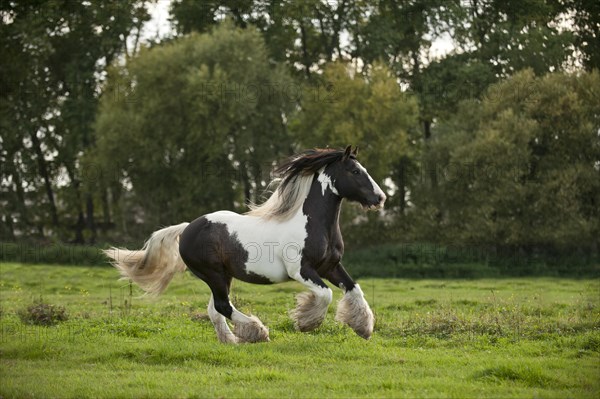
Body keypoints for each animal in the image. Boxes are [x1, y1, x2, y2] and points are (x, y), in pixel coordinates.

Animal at [103, 147, 386, 344]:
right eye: (355, 171)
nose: (380, 198)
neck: (313, 223)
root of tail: (186, 228)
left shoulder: (331, 266)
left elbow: (354, 289)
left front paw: (363, 328)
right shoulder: (301, 270)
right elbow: (325, 294)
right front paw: (306, 323)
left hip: (222, 276)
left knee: (214, 309)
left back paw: (232, 340)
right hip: (214, 274)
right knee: (222, 306)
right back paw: (258, 333)